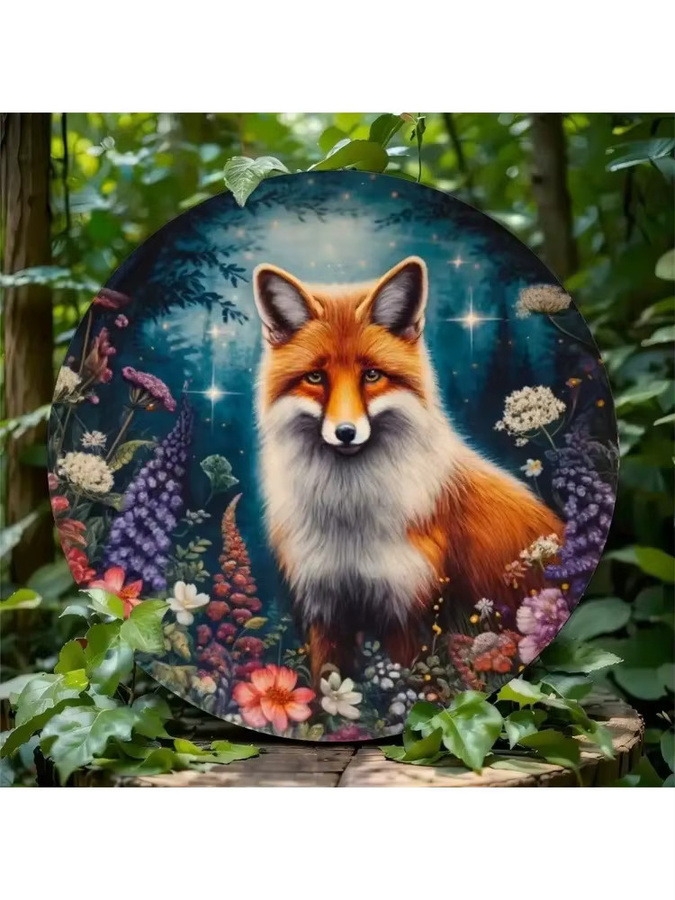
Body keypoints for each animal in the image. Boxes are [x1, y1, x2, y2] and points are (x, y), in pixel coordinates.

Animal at [252, 255, 564, 684]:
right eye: (316, 377)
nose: (345, 433)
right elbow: (323, 690)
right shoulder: (325, 609)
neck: (349, 522)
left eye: (372, 375)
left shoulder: (404, 611)